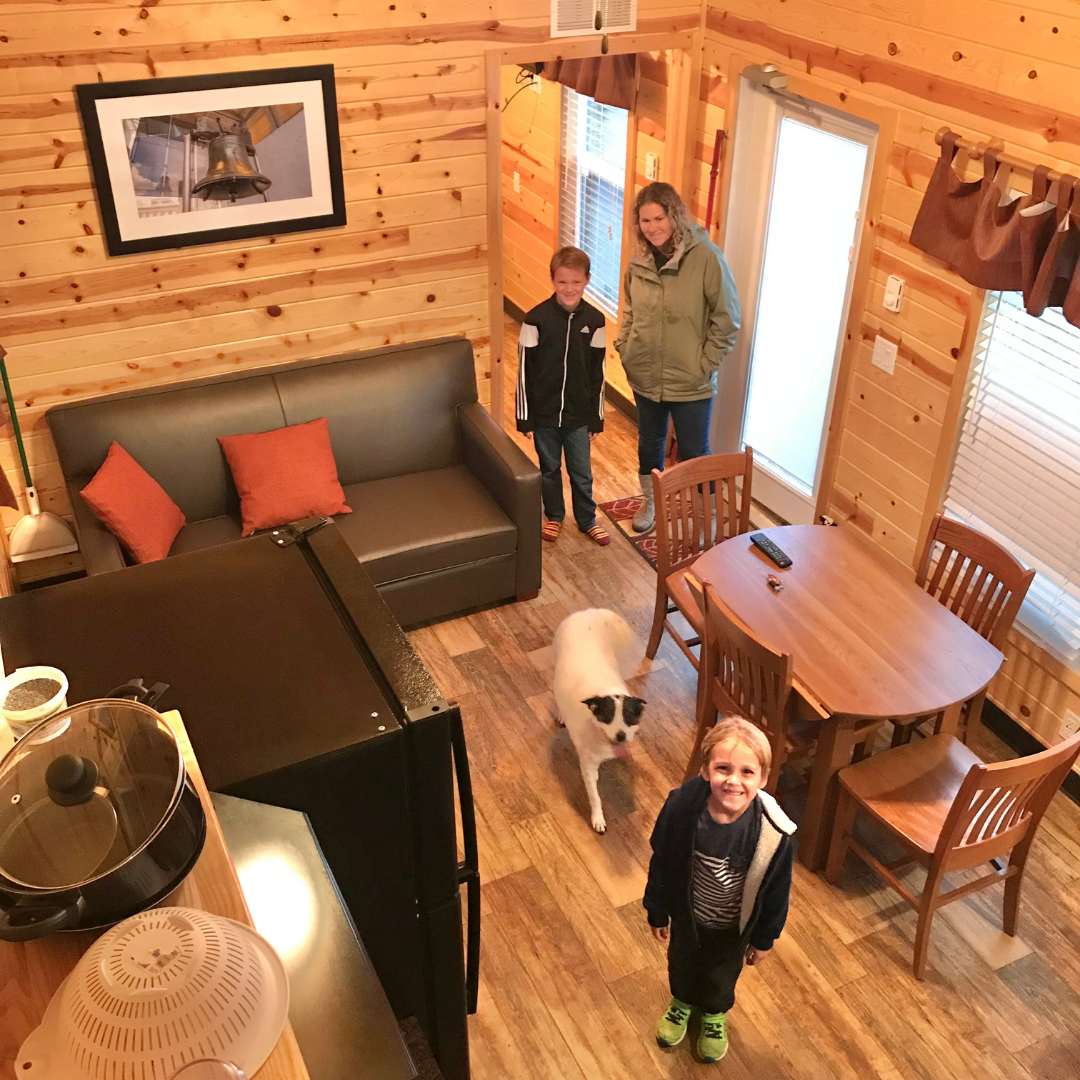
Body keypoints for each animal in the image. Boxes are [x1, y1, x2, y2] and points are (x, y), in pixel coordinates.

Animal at [552, 609, 643, 833]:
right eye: (608, 717)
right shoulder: (588, 766)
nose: (621, 735)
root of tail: (588, 612)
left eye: (629, 718)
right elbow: (594, 796)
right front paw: (598, 818)